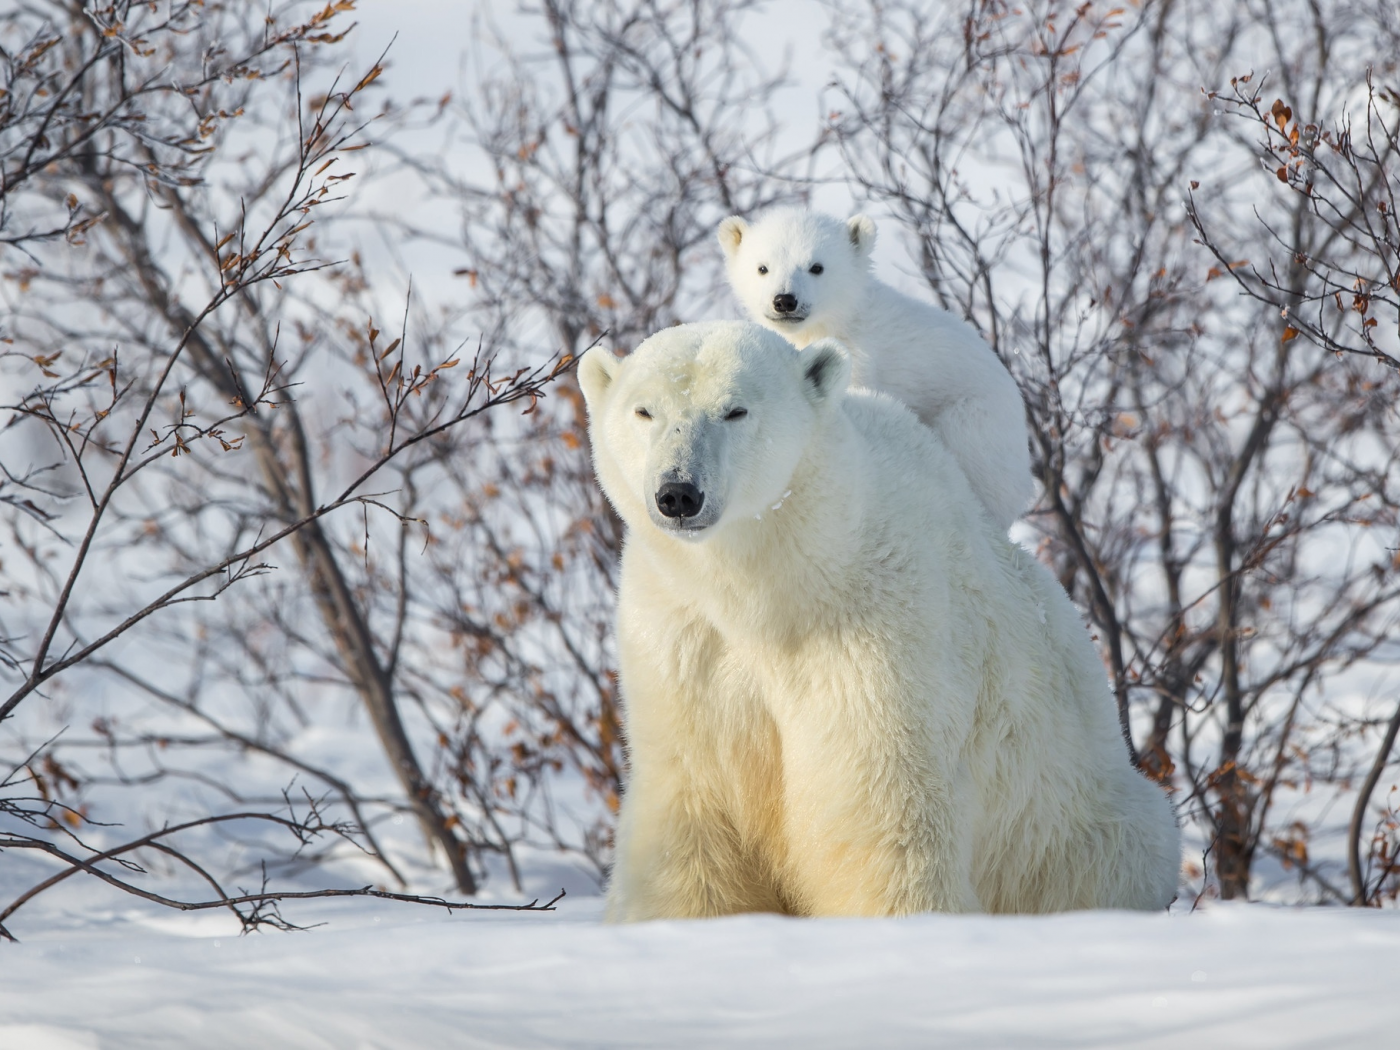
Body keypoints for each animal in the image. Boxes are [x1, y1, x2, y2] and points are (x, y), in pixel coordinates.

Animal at [579, 320, 1181, 918]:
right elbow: (693, 810)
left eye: (735, 410)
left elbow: (880, 809)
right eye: (645, 411)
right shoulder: (682, 638)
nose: (679, 492)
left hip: (1071, 826)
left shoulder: (878, 630)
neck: (776, 589)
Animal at [716, 207, 1036, 534]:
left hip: (976, 425)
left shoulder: (862, 359)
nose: (784, 300)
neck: (838, 323)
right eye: (762, 268)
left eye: (816, 267)